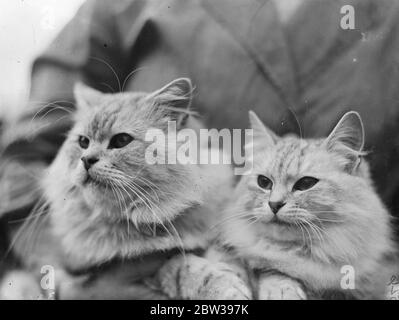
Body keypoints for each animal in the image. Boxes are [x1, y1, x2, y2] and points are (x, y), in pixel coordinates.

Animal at [0, 78, 250, 300]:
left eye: (121, 140)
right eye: (83, 142)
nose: (86, 160)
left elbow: (223, 261)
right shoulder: (141, 266)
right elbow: (185, 267)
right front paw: (224, 287)